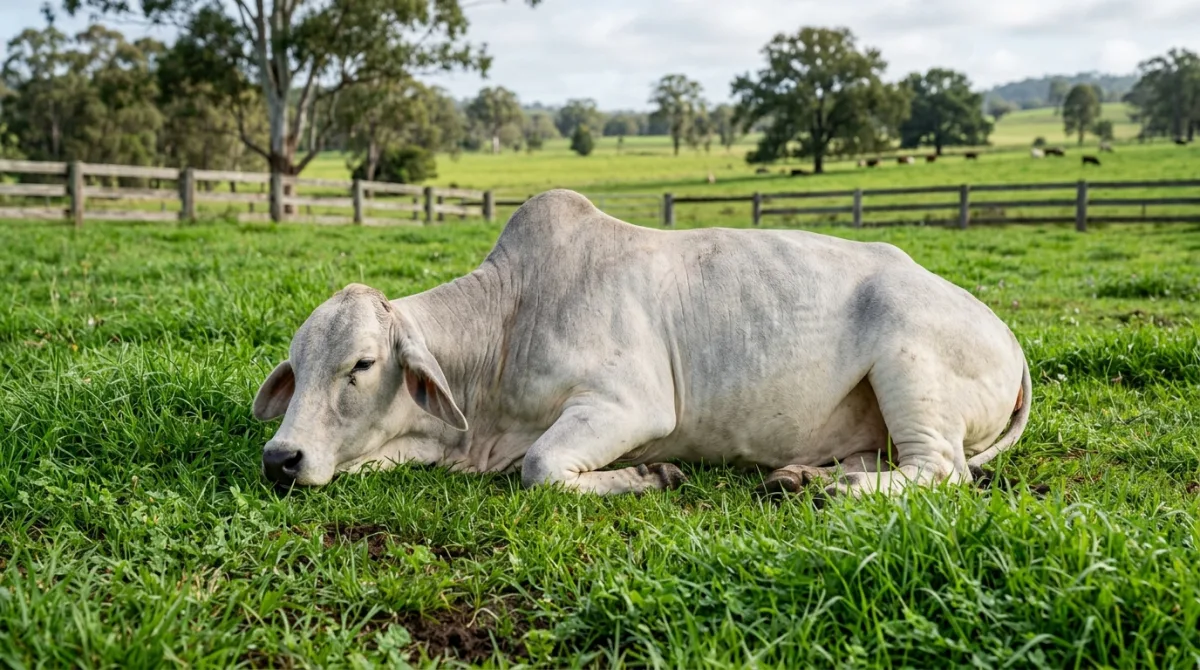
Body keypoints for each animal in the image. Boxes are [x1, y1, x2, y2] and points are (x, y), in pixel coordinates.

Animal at [253, 189, 1032, 502]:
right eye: (297, 366)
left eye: (361, 364)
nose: (280, 459)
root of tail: (1010, 339)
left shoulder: (633, 405)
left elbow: (540, 467)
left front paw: (650, 475)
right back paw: (802, 478)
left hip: (911, 367)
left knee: (940, 471)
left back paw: (832, 490)